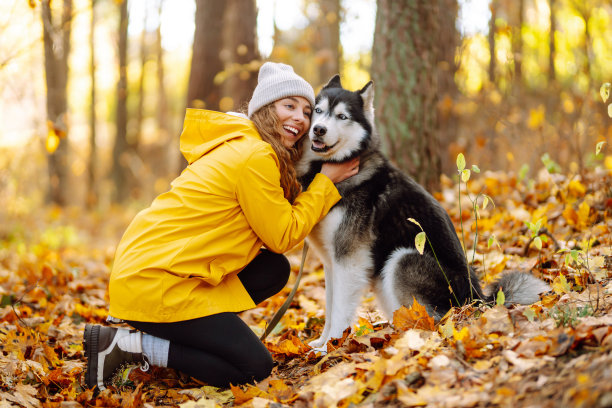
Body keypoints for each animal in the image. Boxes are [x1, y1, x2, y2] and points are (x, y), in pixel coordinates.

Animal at [296, 76, 548, 350]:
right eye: (318, 111)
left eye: (342, 116)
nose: (318, 129)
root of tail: (478, 298)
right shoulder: (332, 262)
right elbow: (330, 307)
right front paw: (319, 344)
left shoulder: (349, 260)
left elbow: (340, 310)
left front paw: (330, 346)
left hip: (403, 259)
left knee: (432, 321)